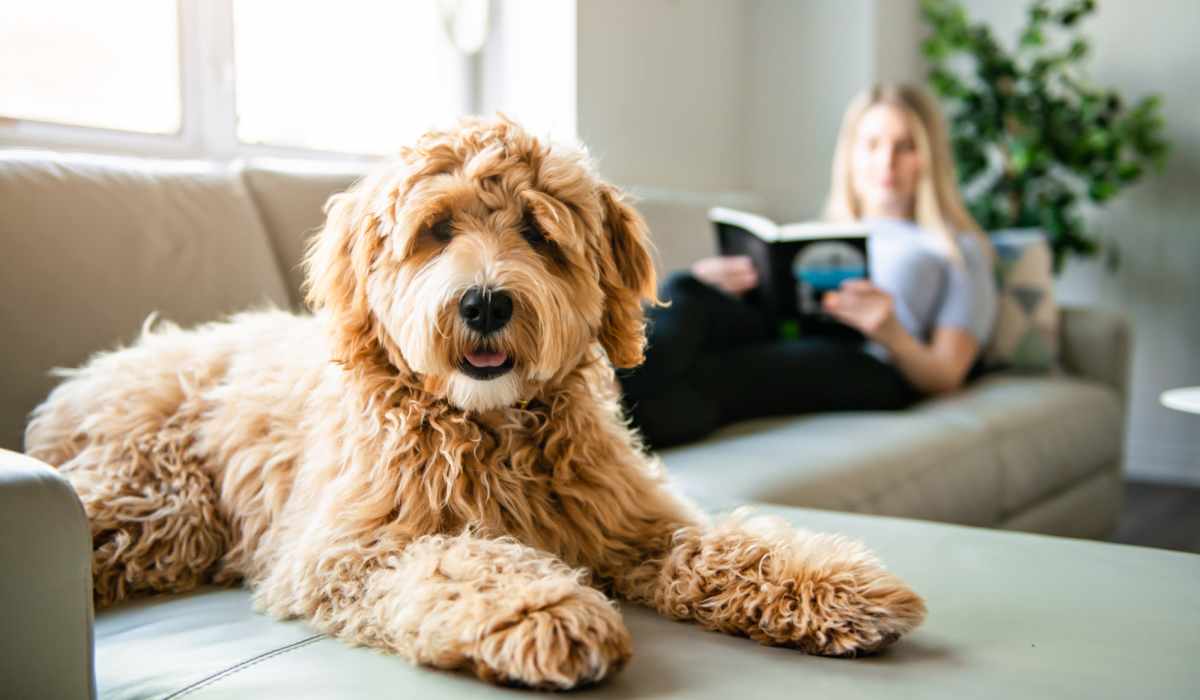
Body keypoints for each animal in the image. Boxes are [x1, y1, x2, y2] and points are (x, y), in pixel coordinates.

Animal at [25, 116, 926, 691]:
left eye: (537, 232)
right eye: (436, 229)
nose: (486, 303)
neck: (490, 427)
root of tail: (100, 368)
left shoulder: (633, 522)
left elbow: (726, 545)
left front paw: (835, 584)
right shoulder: (349, 550)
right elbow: (460, 559)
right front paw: (545, 610)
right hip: (159, 502)